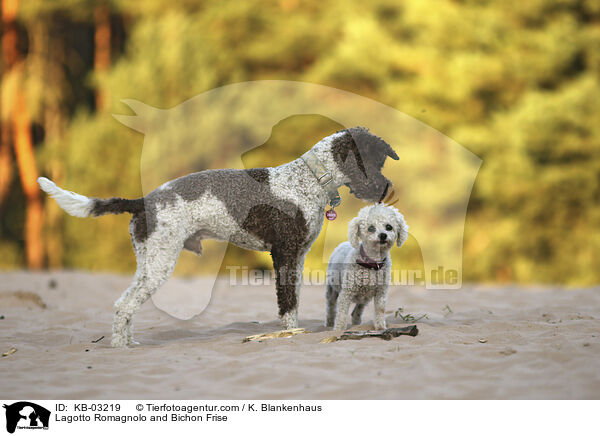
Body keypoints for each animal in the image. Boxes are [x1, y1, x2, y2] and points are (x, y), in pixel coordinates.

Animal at [39, 127, 400, 348]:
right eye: (372, 162)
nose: (386, 189)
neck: (309, 179)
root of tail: (142, 201)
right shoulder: (283, 255)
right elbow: (287, 304)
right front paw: (288, 335)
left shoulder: (296, 258)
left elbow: (293, 302)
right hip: (160, 263)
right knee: (123, 305)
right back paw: (119, 348)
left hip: (149, 262)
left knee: (125, 305)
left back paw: (129, 343)